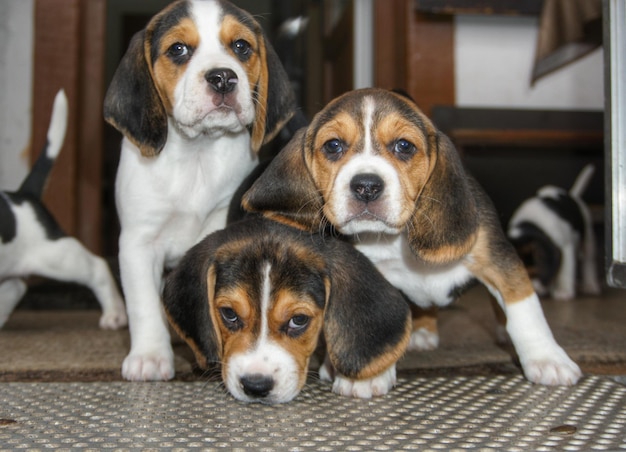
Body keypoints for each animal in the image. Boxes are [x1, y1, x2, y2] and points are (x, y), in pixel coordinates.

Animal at [103, 0, 298, 382]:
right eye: (178, 49)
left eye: (241, 47)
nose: (223, 77)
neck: (197, 156)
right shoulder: (138, 243)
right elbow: (144, 304)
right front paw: (150, 357)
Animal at [243, 89, 580, 388]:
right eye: (333, 146)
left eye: (404, 146)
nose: (366, 186)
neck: (396, 237)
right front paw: (371, 375)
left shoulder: (498, 260)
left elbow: (524, 309)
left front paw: (547, 359)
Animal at [508, 164, 600, 302]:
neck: (530, 225)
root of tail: (572, 195)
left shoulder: (566, 246)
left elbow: (565, 271)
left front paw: (564, 291)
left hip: (588, 236)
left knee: (589, 261)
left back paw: (590, 285)